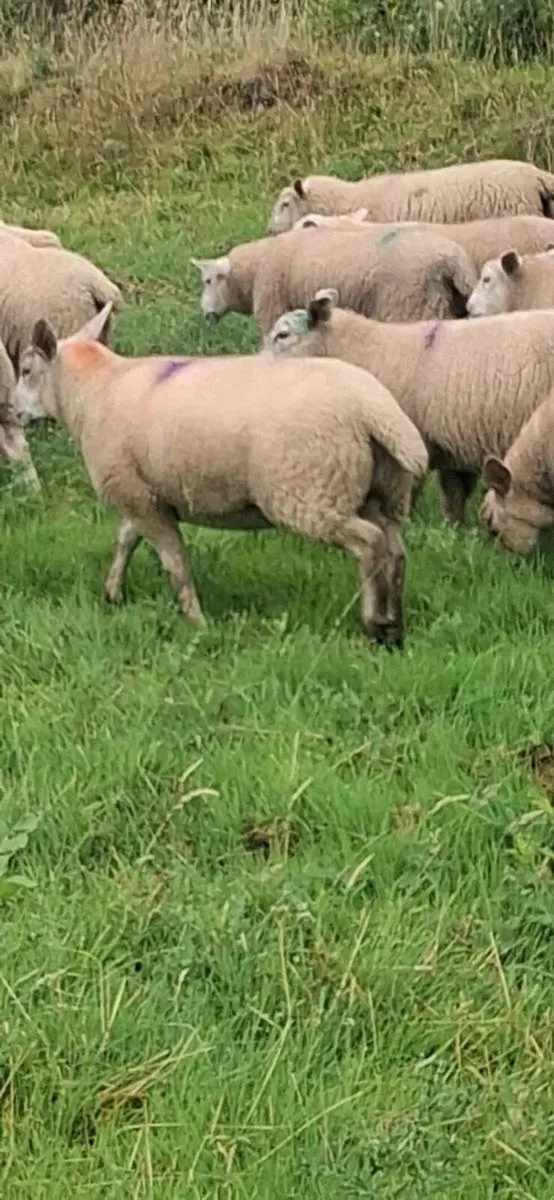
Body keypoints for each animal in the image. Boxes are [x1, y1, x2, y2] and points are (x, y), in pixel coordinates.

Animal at [14, 303, 429, 648]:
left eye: (26, 370)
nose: (14, 412)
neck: (93, 390)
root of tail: (374, 409)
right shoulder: (143, 493)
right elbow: (124, 541)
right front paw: (112, 594)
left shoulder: (140, 498)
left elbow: (175, 564)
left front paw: (196, 623)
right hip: (382, 491)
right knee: (395, 550)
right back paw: (395, 626)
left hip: (310, 491)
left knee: (370, 544)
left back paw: (375, 624)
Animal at [261, 289, 554, 526]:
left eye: (283, 335)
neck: (364, 352)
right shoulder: (451, 443)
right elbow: (454, 494)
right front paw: (455, 531)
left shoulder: (409, 441)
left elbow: (406, 492)